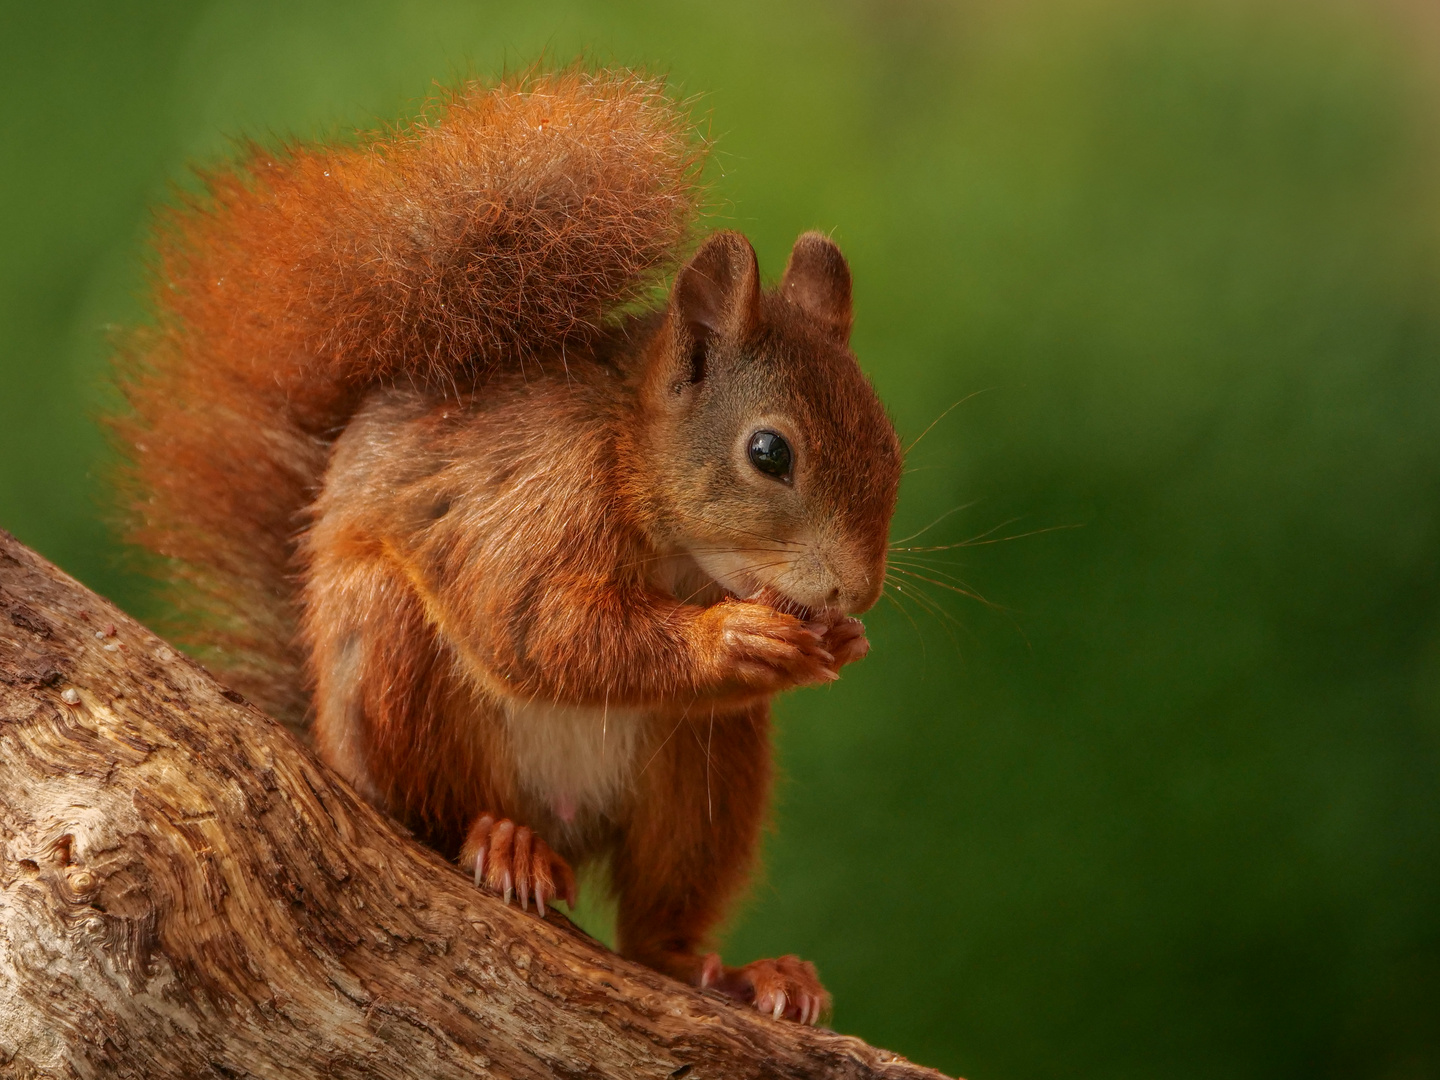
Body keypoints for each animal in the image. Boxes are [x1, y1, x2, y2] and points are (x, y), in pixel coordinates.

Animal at [115, 63, 898, 1025]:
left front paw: (837, 642)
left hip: (707, 768)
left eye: (890, 445)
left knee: (659, 928)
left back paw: (742, 975)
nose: (855, 592)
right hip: (391, 662)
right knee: (432, 815)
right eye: (769, 453)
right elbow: (540, 625)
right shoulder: (534, 502)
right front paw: (733, 636)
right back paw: (501, 843)